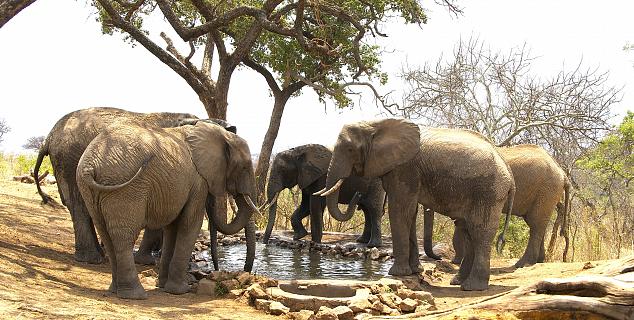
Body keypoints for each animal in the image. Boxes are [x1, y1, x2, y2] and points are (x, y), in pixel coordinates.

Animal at [320, 119, 512, 290]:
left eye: (350, 149)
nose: (358, 194)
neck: (376, 123)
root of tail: (509, 174)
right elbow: (409, 213)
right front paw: (414, 271)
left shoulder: (405, 169)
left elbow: (399, 210)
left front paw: (396, 274)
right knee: (468, 231)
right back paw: (458, 282)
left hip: (489, 192)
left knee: (479, 231)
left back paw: (472, 287)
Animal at [422, 143, 572, 268]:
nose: (439, 258)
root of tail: (563, 173)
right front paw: (457, 262)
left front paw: (456, 262)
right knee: (537, 223)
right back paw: (538, 261)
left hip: (546, 190)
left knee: (535, 224)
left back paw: (522, 264)